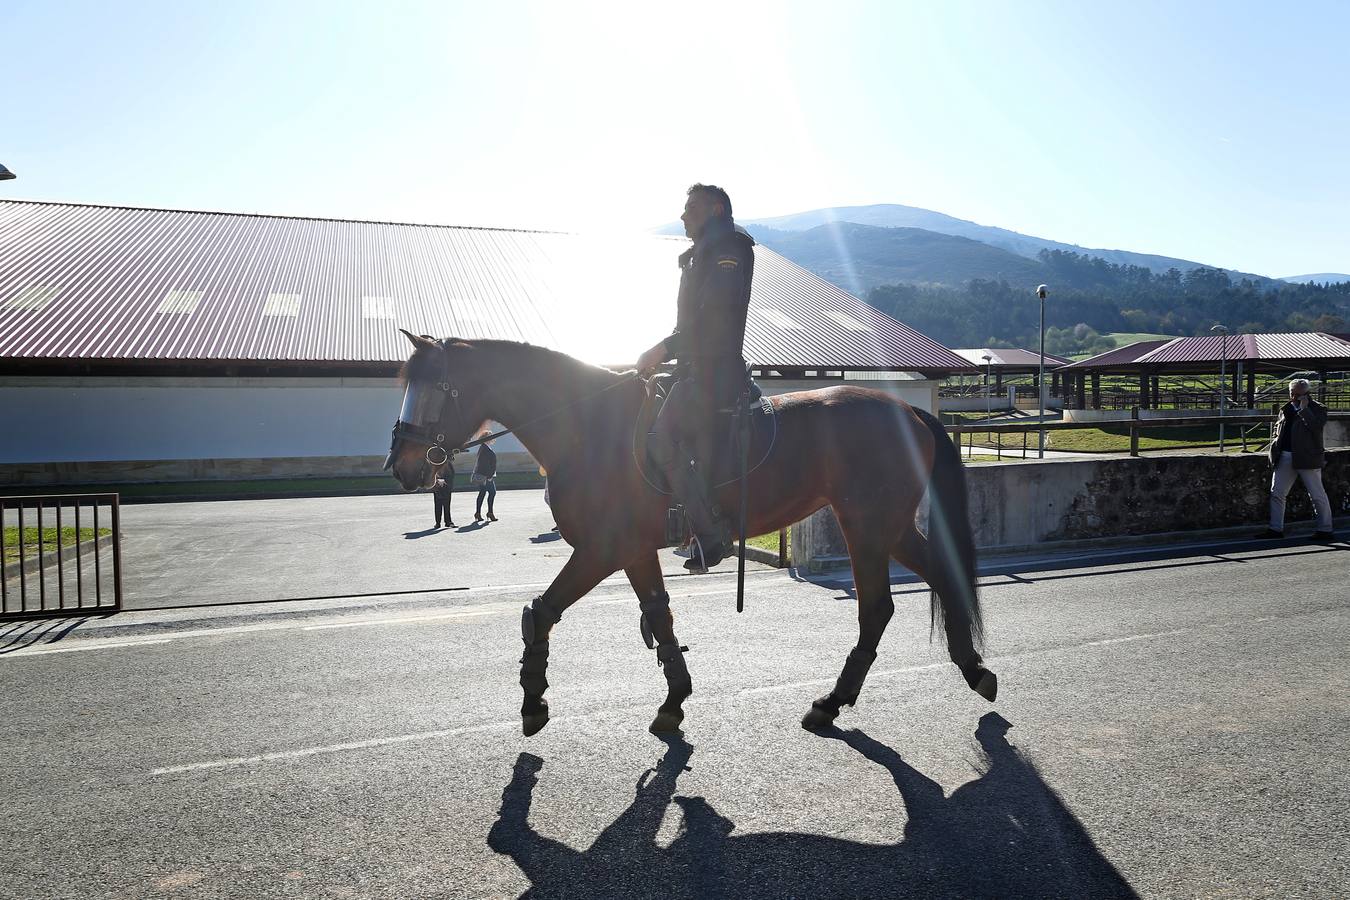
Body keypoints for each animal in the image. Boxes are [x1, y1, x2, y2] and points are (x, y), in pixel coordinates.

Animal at [386, 334, 999, 734]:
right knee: (940, 576)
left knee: (876, 608)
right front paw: (674, 698)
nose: (403, 465)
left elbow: (544, 610)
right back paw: (972, 669)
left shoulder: (604, 548)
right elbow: (657, 615)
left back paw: (833, 700)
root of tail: (909, 412)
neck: (589, 429)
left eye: (437, 388)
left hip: (867, 525)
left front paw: (534, 700)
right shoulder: (632, 550)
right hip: (886, 526)